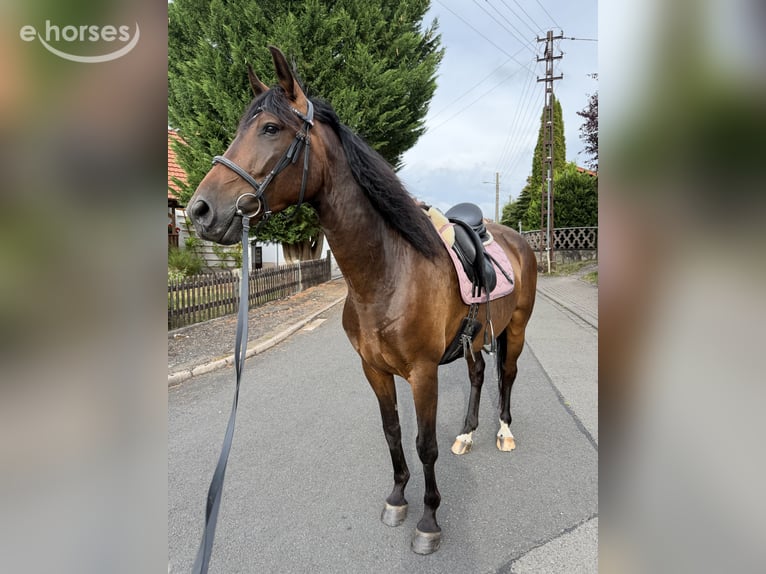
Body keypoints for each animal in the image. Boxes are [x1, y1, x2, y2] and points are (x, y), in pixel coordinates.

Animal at [187, 46, 537, 555]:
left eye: (270, 128)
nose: (200, 210)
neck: (387, 275)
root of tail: (515, 238)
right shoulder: (373, 369)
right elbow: (392, 432)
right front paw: (397, 498)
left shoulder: (424, 373)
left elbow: (424, 444)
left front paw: (429, 521)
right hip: (474, 338)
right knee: (478, 375)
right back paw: (467, 435)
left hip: (518, 327)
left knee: (506, 375)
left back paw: (503, 432)